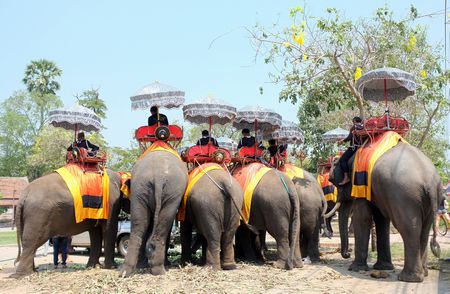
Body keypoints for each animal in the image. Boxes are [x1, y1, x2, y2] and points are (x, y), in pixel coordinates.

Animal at [120, 148, 187, 276]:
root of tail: (158, 175)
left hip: (140, 188)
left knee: (139, 225)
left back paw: (126, 271)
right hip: (171, 192)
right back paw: (159, 270)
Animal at [328, 142, 442, 282]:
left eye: (334, 182)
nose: (347, 253)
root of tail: (429, 181)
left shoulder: (361, 183)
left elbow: (362, 217)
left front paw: (355, 268)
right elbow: (381, 219)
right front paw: (383, 268)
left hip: (404, 197)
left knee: (409, 229)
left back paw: (408, 278)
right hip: (433, 199)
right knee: (425, 230)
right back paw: (423, 273)